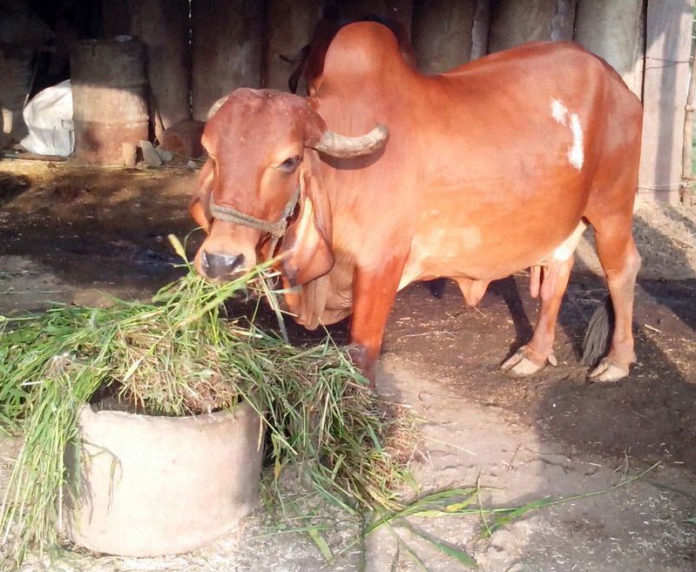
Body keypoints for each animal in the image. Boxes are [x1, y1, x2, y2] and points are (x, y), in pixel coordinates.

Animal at [190, 24, 640, 386]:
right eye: (210, 152)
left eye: (288, 160)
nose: (221, 261)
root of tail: (616, 82)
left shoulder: (381, 265)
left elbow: (363, 353)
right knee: (558, 272)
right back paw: (532, 355)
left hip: (612, 207)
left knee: (622, 269)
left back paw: (616, 361)